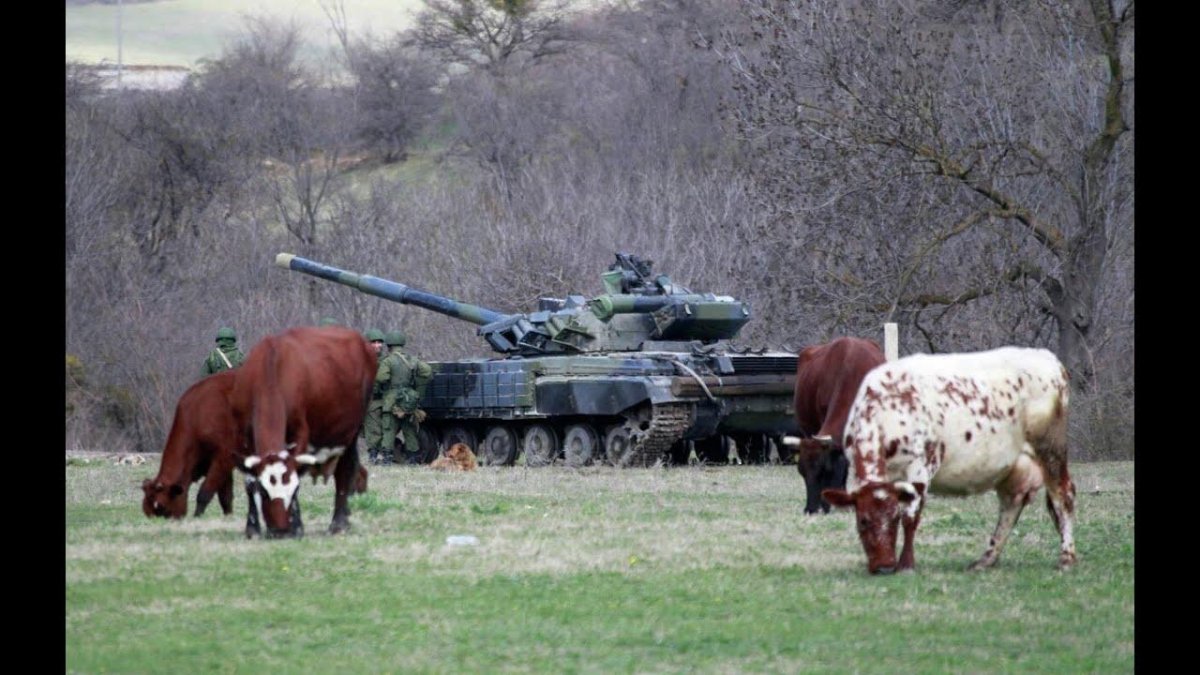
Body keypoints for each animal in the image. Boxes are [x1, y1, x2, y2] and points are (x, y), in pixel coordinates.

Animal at [142, 369, 242, 519]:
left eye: (161, 507)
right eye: (146, 511)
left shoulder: (223, 458)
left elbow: (204, 493)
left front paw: (197, 516)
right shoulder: (223, 465)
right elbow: (225, 497)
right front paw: (228, 517)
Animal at [230, 326, 376, 538]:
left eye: (293, 491)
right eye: (264, 492)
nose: (280, 530)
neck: (270, 369)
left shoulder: (300, 434)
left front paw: (296, 526)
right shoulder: (242, 437)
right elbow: (250, 482)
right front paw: (252, 528)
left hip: (351, 433)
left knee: (345, 470)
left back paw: (338, 523)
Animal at [822, 347, 1077, 575]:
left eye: (893, 518)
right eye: (863, 521)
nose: (884, 567)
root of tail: (1048, 358)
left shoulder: (921, 467)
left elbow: (911, 517)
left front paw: (906, 564)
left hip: (1051, 451)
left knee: (1062, 496)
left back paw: (1067, 557)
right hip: (1013, 467)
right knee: (1011, 505)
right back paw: (986, 559)